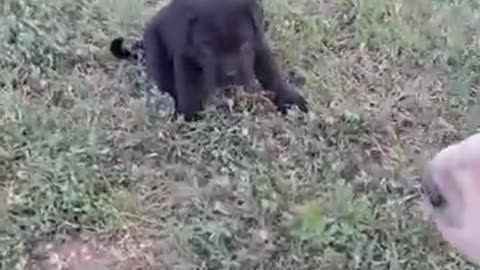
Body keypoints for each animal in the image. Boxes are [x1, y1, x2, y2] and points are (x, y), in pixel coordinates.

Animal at [110, 0, 308, 121]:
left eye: (243, 43)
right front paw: (190, 115)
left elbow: (272, 74)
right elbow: (188, 86)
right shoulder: (186, 56)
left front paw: (291, 100)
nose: (230, 75)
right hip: (156, 51)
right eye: (208, 49)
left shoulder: (258, 46)